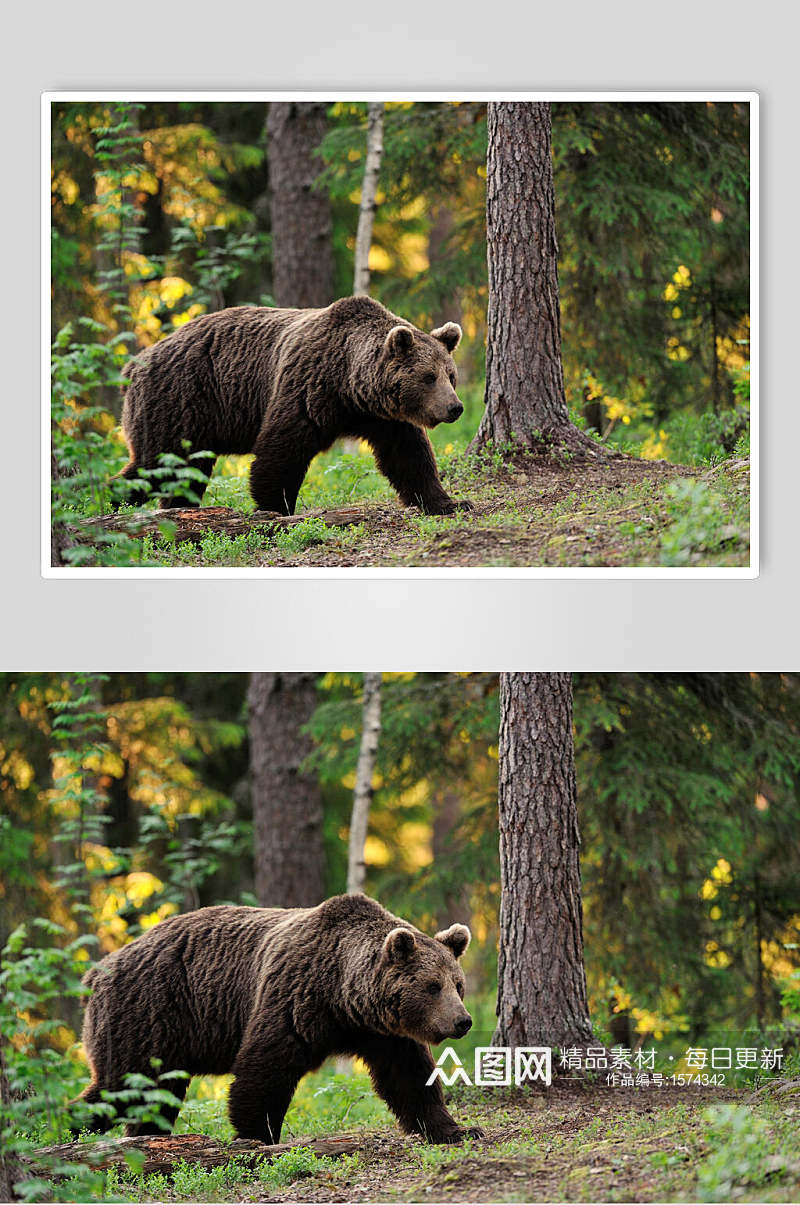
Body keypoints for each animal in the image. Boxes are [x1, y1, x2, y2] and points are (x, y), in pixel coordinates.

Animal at [78, 901, 484, 1142]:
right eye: (432, 986)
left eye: (457, 984)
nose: (462, 1021)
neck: (342, 995)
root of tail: (99, 971)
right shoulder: (294, 998)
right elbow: (265, 1068)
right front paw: (258, 1136)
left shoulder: (382, 1032)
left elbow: (410, 1079)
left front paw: (458, 1130)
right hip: (148, 1013)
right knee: (123, 1085)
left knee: (153, 1095)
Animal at [115, 298, 472, 515]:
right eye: (428, 377)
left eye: (450, 375)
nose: (455, 407)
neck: (349, 384)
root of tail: (135, 363)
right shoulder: (307, 387)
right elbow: (281, 450)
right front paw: (276, 507)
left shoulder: (383, 417)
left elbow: (409, 457)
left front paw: (449, 502)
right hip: (180, 400)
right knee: (156, 463)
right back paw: (111, 501)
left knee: (184, 472)